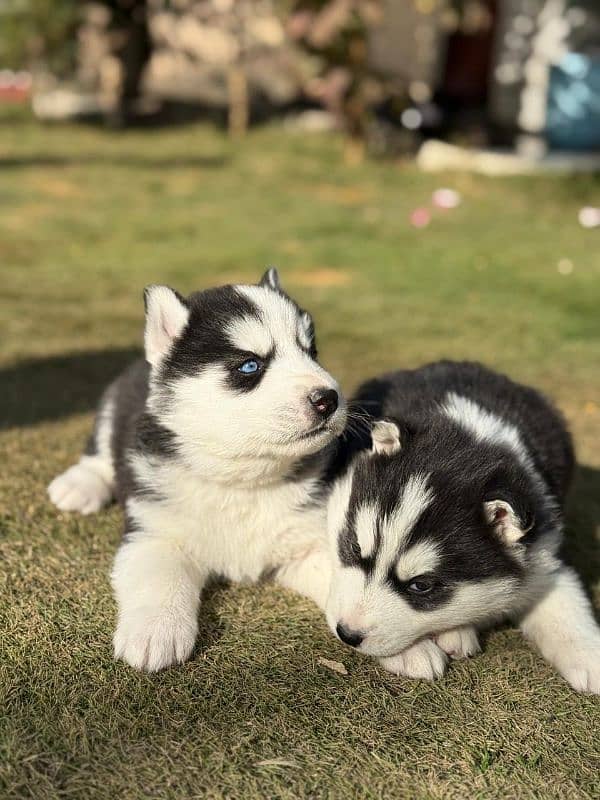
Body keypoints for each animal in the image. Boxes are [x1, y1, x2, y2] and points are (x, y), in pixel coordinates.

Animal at [47, 272, 346, 672]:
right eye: (250, 365)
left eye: (311, 352)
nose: (329, 398)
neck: (240, 482)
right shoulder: (153, 530)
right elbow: (159, 577)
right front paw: (156, 629)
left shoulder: (306, 540)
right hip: (113, 407)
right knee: (99, 454)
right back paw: (79, 485)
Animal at [326, 362, 596, 692]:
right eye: (354, 547)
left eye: (421, 586)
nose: (347, 633)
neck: (469, 436)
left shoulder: (544, 552)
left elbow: (565, 606)